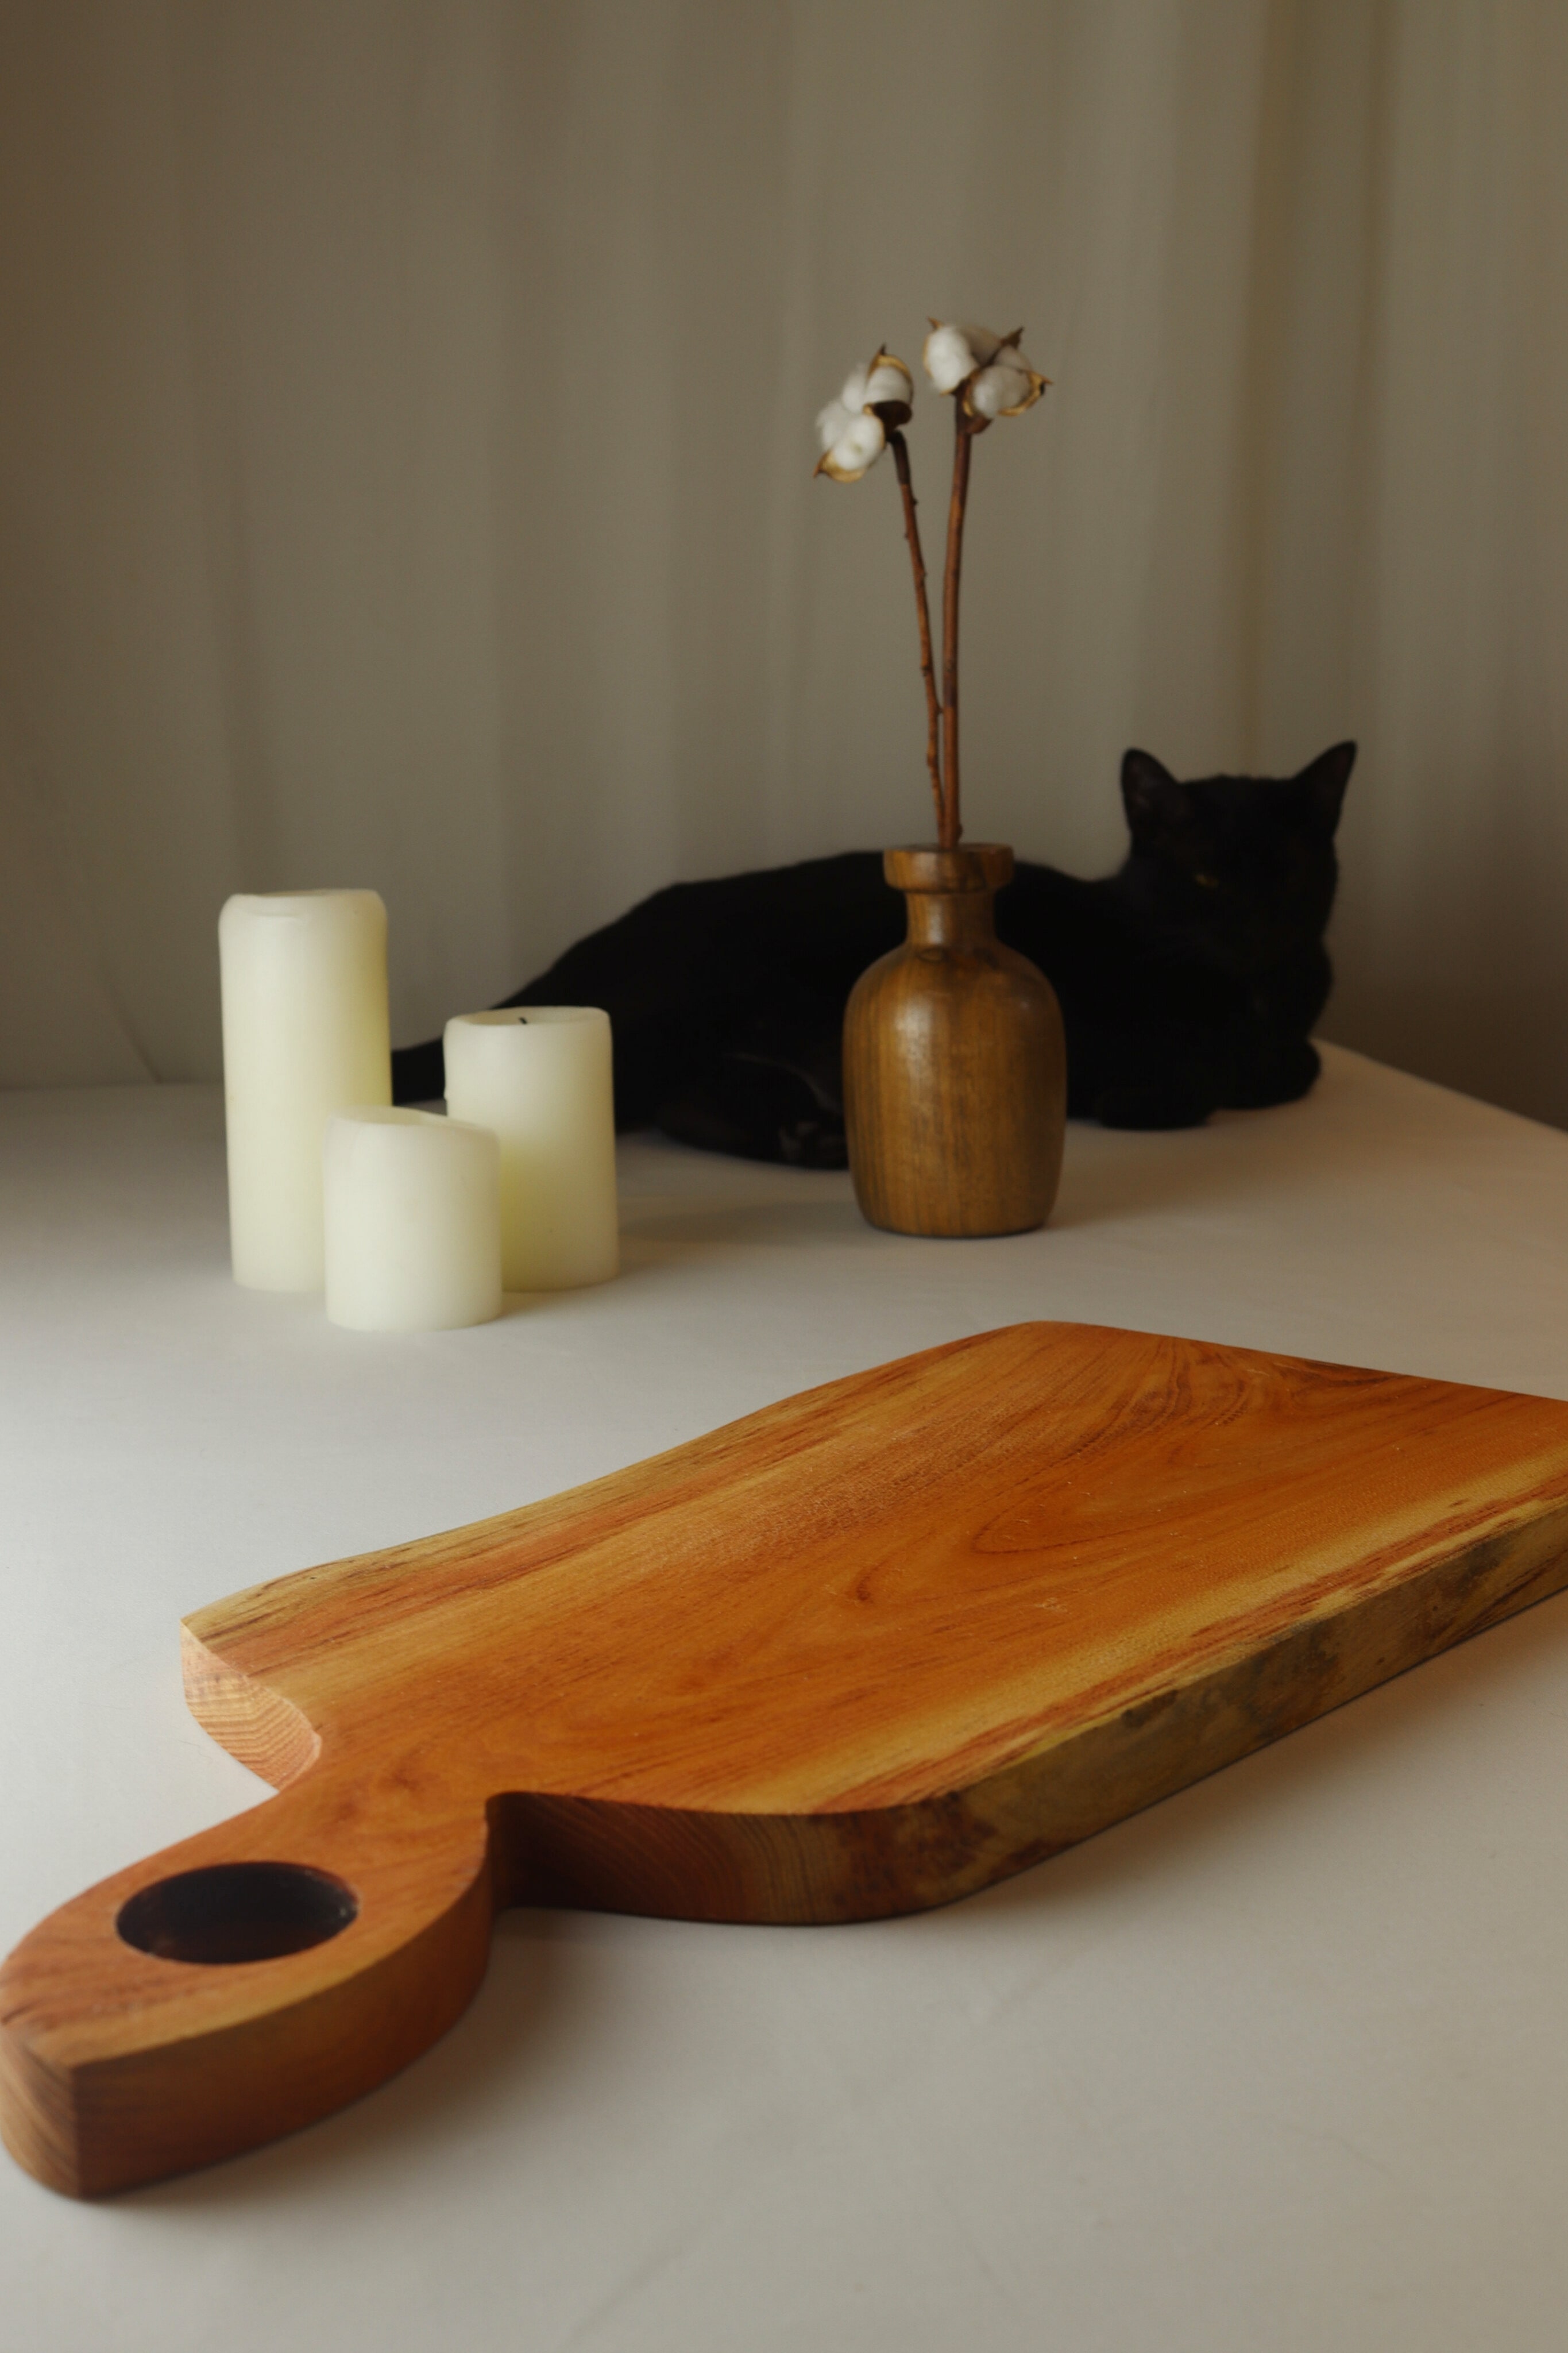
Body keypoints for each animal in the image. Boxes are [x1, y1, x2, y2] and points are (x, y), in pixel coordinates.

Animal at [391, 741, 1355, 1167]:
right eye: (1202, 878)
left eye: (1291, 872)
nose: (1256, 925)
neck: (1248, 992)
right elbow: (1243, 1067)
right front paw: (1152, 1097)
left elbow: (1295, 1059)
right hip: (700, 1000)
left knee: (681, 1104)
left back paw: (811, 1137)